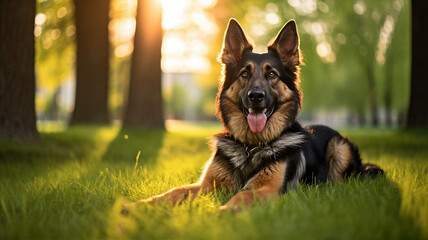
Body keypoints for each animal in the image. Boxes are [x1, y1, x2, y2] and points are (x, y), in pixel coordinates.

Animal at [125, 18, 382, 211]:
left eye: (272, 74)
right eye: (245, 74)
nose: (256, 96)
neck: (251, 146)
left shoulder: (268, 189)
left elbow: (243, 195)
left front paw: (222, 211)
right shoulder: (208, 185)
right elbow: (174, 191)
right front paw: (140, 205)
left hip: (340, 146)